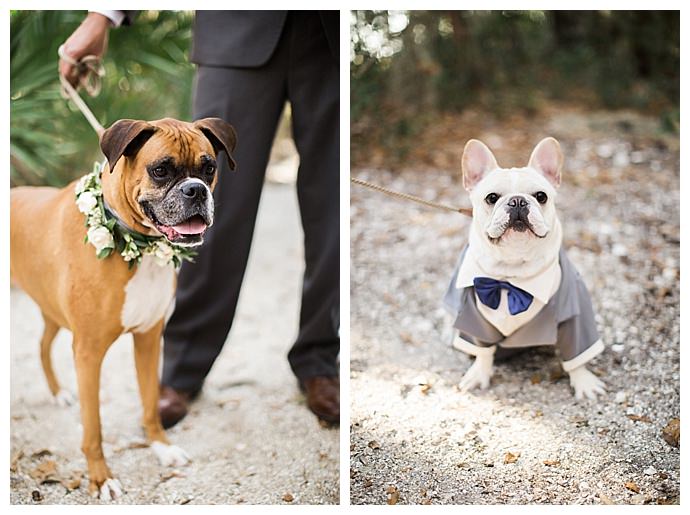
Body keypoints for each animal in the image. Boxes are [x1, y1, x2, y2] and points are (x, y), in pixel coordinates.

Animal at [8, 119, 236, 502]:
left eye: (209, 169)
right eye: (161, 170)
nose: (195, 190)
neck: (139, 246)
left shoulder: (149, 339)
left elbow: (149, 402)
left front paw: (161, 447)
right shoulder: (88, 353)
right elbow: (94, 427)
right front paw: (101, 478)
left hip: (52, 310)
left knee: (42, 345)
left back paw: (58, 393)